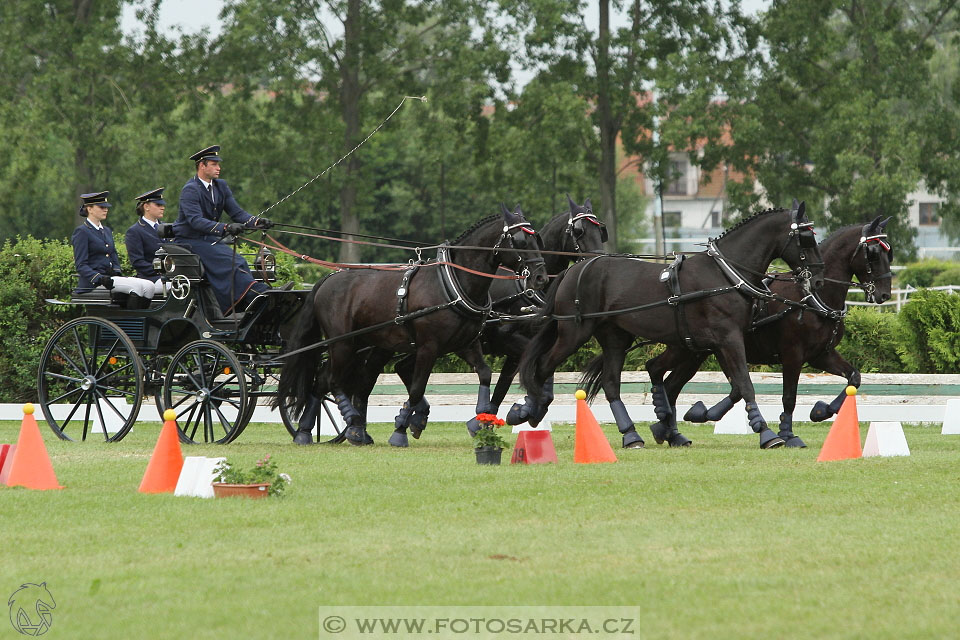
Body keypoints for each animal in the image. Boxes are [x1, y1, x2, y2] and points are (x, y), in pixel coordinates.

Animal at [278, 205, 548, 444]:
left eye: (537, 239)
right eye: (520, 240)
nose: (540, 277)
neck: (453, 283)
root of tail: (327, 279)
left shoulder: (466, 344)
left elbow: (484, 374)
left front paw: (480, 421)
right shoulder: (429, 347)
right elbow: (417, 388)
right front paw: (400, 431)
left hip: (362, 346)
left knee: (328, 381)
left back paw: (308, 433)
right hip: (343, 343)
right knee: (333, 381)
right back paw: (351, 424)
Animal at [470, 198, 608, 432]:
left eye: (600, 230)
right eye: (579, 231)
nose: (599, 260)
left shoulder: (516, 352)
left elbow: (503, 387)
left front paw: (517, 412)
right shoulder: (506, 340)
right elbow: (540, 365)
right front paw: (529, 407)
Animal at [516, 202, 824, 448]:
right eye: (806, 238)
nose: (819, 277)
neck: (725, 274)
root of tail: (575, 268)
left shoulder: (719, 343)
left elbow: (737, 385)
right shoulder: (728, 338)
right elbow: (746, 385)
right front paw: (766, 433)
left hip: (615, 337)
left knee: (611, 383)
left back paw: (631, 435)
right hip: (574, 332)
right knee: (542, 366)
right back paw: (531, 410)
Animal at [632, 218, 896, 448]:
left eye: (889, 253)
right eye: (873, 253)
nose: (884, 294)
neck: (811, 296)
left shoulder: (822, 354)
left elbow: (854, 378)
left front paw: (821, 410)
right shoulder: (793, 355)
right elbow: (788, 396)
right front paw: (787, 435)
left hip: (696, 352)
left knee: (669, 384)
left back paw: (668, 429)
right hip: (688, 349)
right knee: (659, 373)